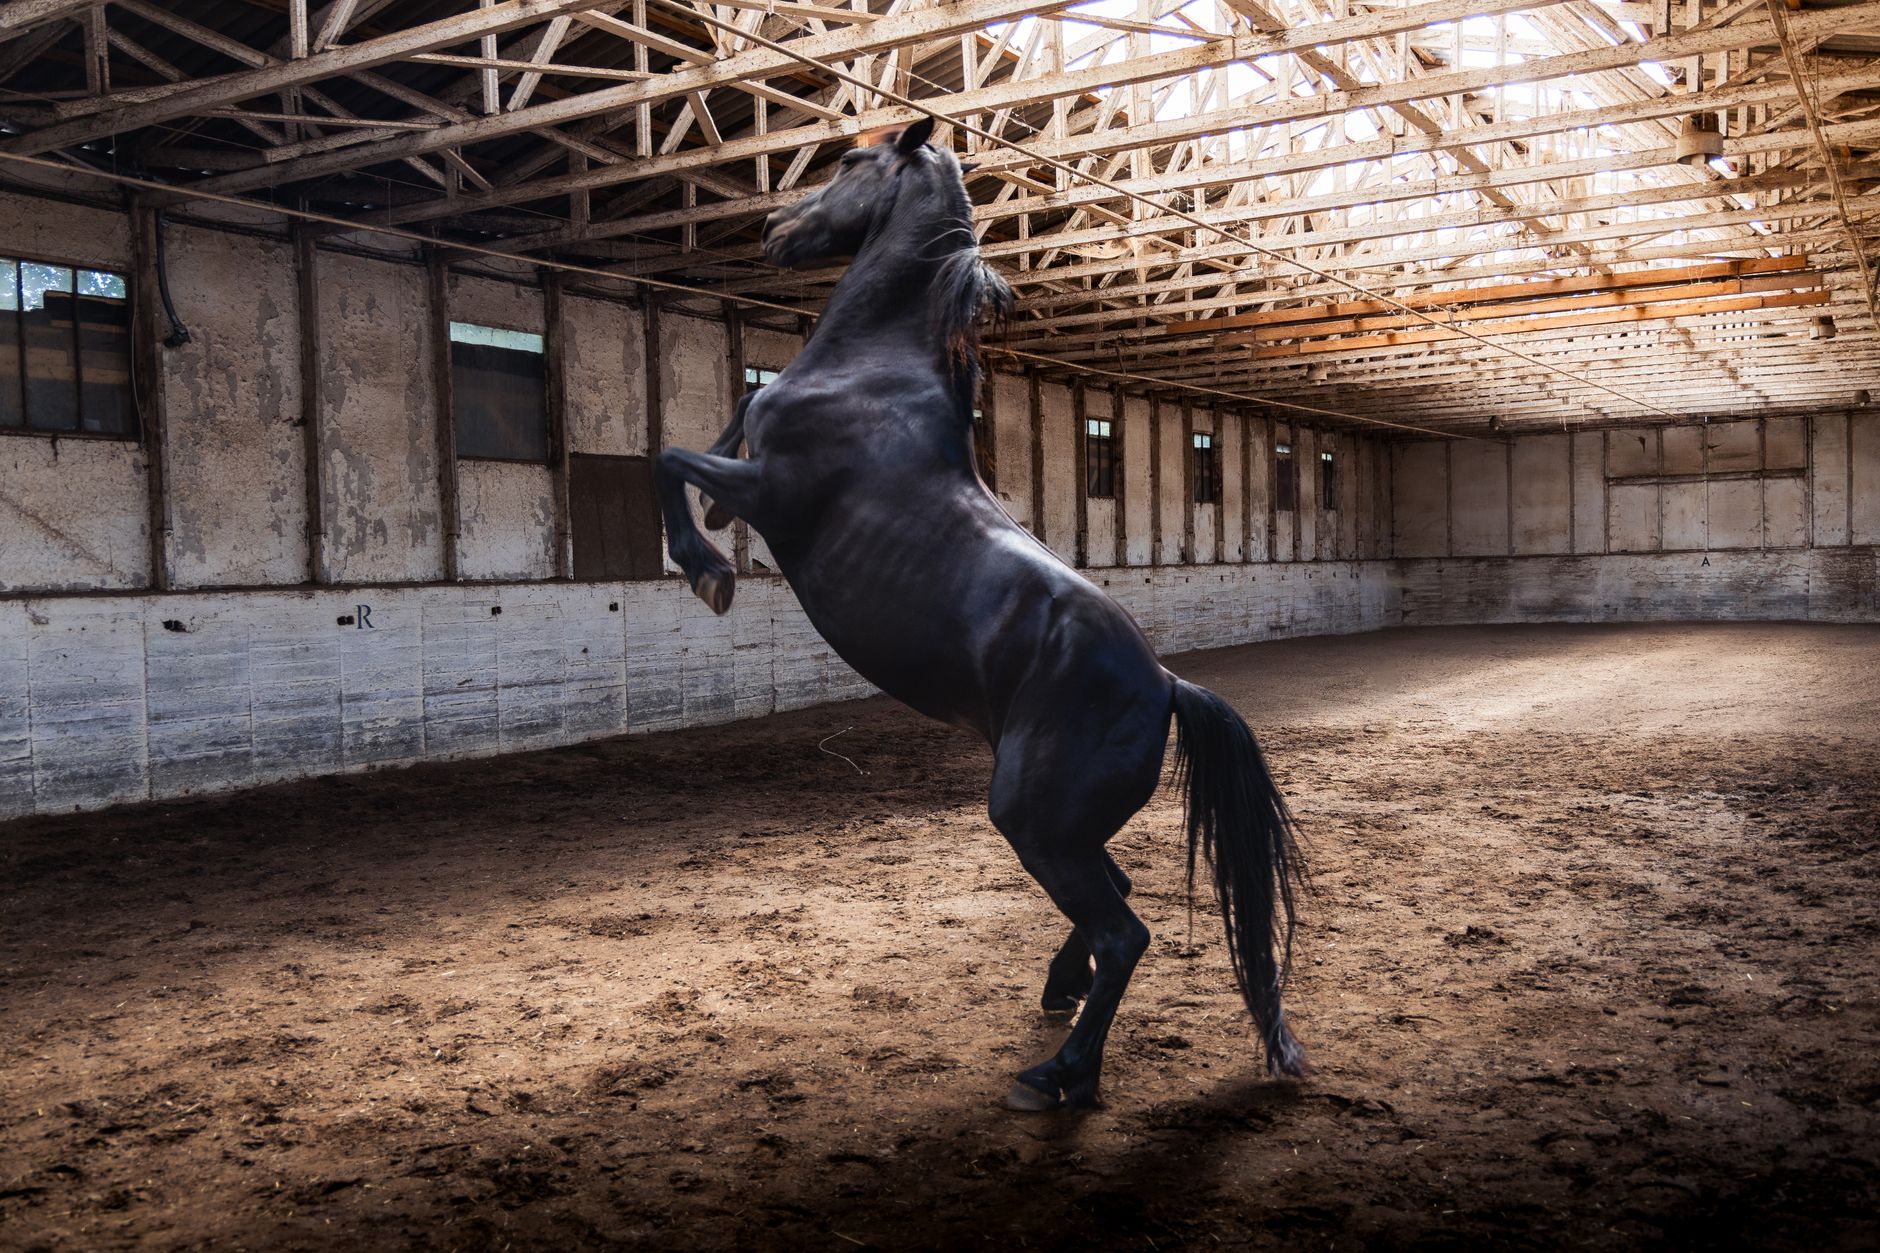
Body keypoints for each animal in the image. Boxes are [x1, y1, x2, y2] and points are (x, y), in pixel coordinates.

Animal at [650, 116, 1307, 1110]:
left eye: (852, 163)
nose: (773, 228)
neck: (872, 374)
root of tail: (1165, 681)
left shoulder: (777, 490)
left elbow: (668, 458)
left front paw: (708, 571)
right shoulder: (755, 448)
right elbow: (734, 408)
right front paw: (714, 538)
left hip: (1034, 818)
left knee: (1125, 931)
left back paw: (1059, 1072)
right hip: (1063, 826)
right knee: (1117, 896)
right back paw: (1058, 993)